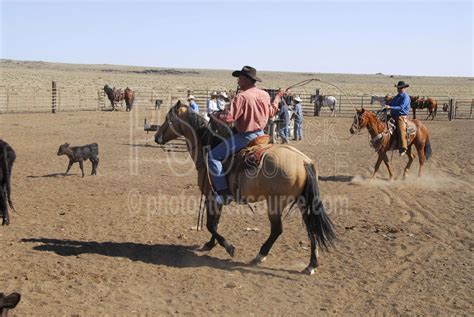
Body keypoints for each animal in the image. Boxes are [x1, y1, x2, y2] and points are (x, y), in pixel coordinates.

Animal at [154, 101, 336, 274]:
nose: (156, 137)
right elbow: (215, 222)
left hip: (275, 203)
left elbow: (210, 224)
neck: (208, 147)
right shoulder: (216, 199)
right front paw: (210, 244)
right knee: (312, 229)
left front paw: (228, 247)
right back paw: (311, 265)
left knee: (277, 230)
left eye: (168, 119)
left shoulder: (211, 197)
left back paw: (260, 256)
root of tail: (304, 161)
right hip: (303, 202)